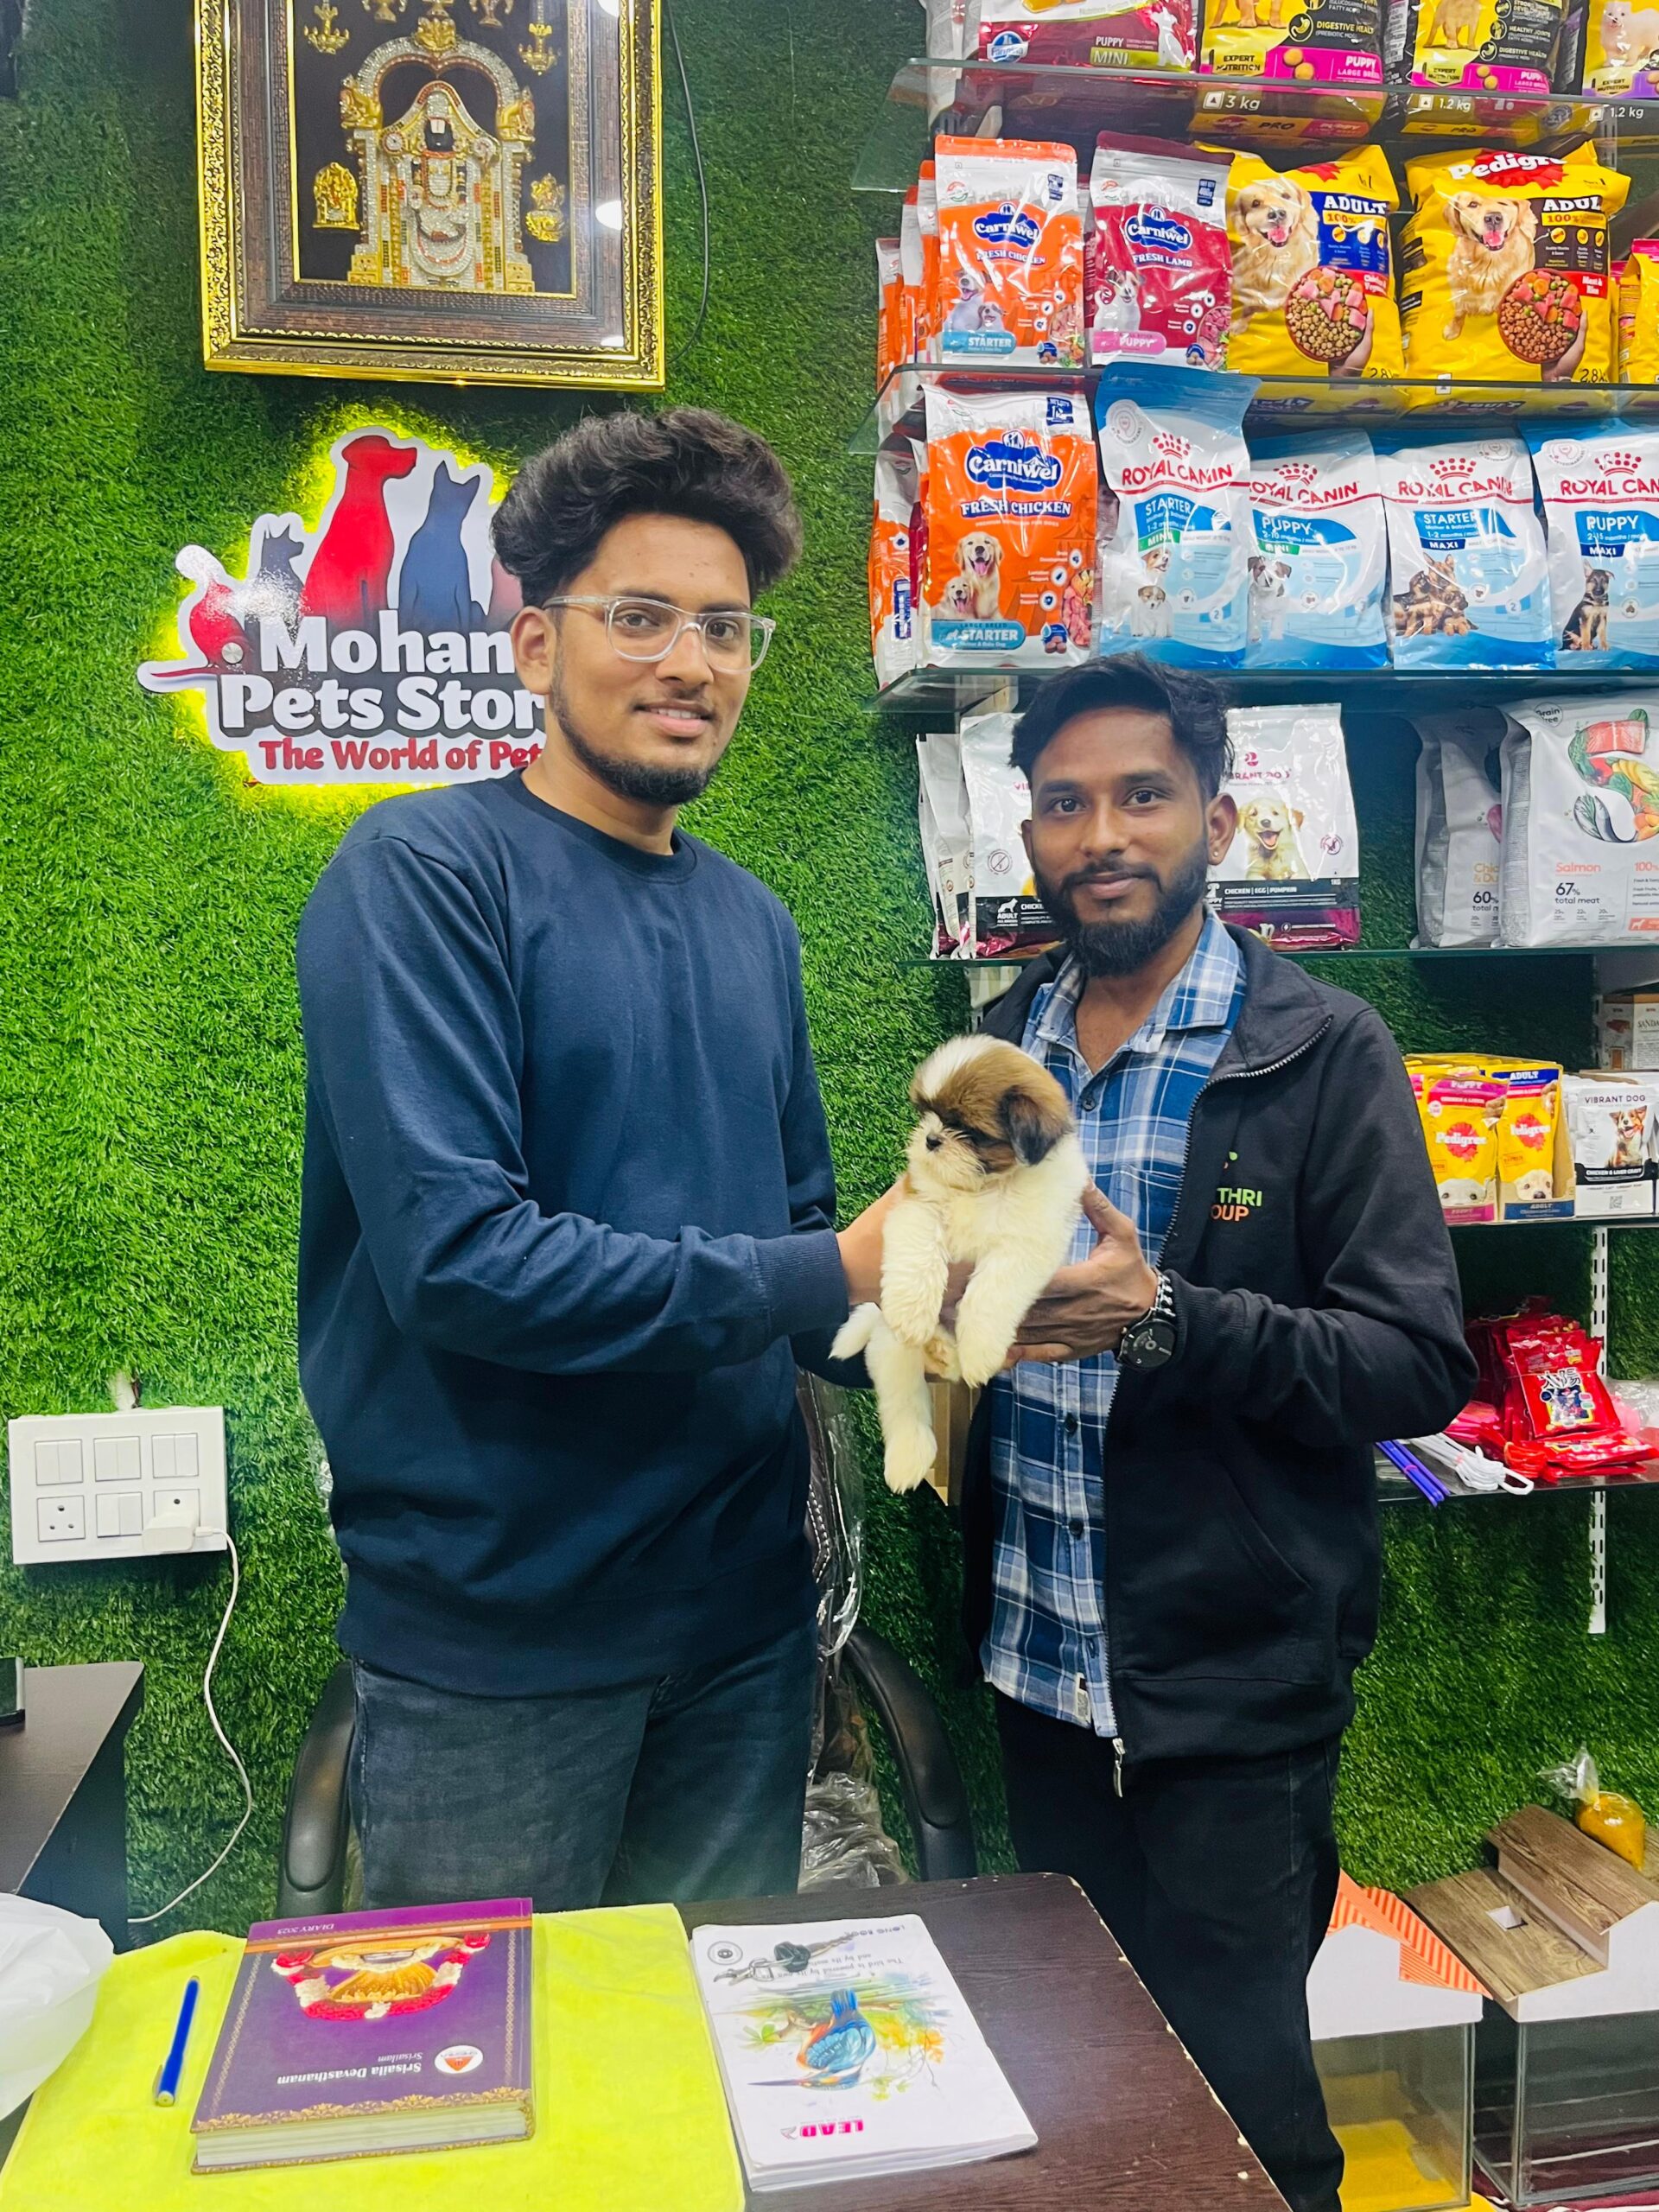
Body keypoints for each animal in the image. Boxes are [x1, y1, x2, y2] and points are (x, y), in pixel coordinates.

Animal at [831, 1038, 1088, 1493]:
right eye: (928, 1114)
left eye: (968, 1130)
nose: (932, 1139)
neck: (983, 1187)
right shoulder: (918, 1203)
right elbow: (918, 1249)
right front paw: (911, 1310)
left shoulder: (1030, 1240)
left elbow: (993, 1293)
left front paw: (980, 1347)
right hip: (891, 1352)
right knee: (904, 1402)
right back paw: (910, 1451)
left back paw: (951, 1352)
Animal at [1230, 175, 1320, 336]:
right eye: (1256, 203)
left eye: (1286, 196)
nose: (1277, 214)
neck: (1278, 257)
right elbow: (1248, 308)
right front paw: (1239, 325)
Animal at [1442, 191, 1536, 342]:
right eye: (1473, 204)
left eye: (1503, 204)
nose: (1494, 218)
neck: (1488, 262)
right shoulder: (1459, 292)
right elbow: (1459, 312)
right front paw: (1453, 329)